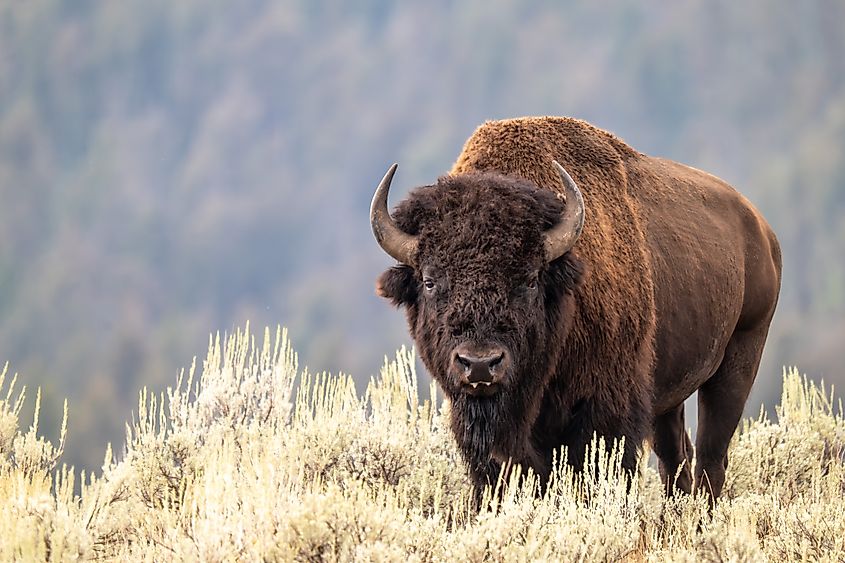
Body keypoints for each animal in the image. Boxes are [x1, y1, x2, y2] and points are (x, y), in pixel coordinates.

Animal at [370, 116, 781, 504]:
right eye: (429, 281)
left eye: (530, 279)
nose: (480, 364)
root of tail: (761, 230)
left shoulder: (606, 413)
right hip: (670, 394)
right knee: (675, 458)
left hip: (739, 359)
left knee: (712, 458)